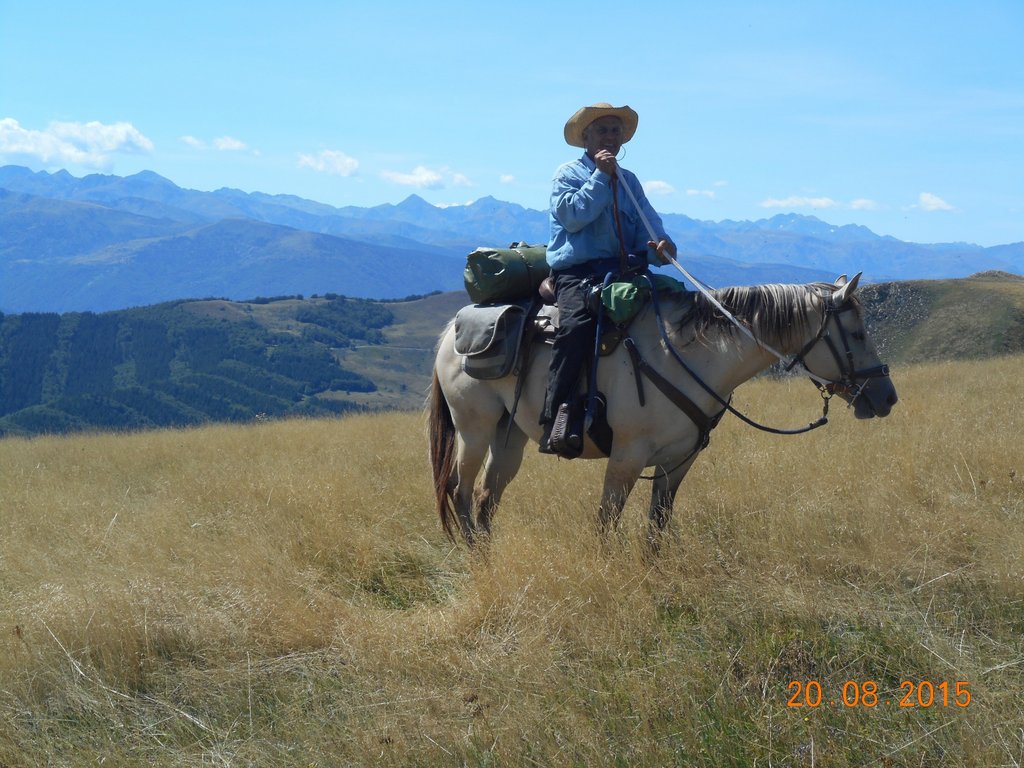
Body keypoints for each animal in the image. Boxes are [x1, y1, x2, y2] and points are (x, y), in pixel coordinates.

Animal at [428, 273, 898, 547]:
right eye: (857, 333)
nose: (887, 397)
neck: (687, 357)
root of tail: (452, 331)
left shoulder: (679, 461)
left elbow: (657, 525)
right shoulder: (626, 457)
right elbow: (606, 522)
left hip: (510, 436)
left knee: (487, 495)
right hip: (474, 429)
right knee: (460, 489)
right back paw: (475, 555)